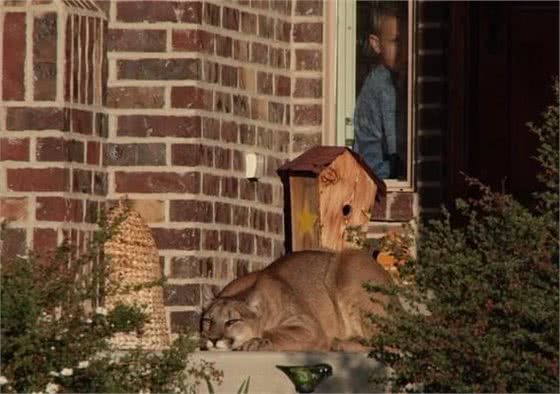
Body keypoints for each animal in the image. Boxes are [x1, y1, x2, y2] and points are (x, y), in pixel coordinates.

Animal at [201, 249, 394, 350]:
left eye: (232, 321)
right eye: (208, 320)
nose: (213, 339)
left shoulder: (310, 327)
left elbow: (270, 331)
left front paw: (255, 341)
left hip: (350, 264)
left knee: (386, 346)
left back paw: (338, 344)